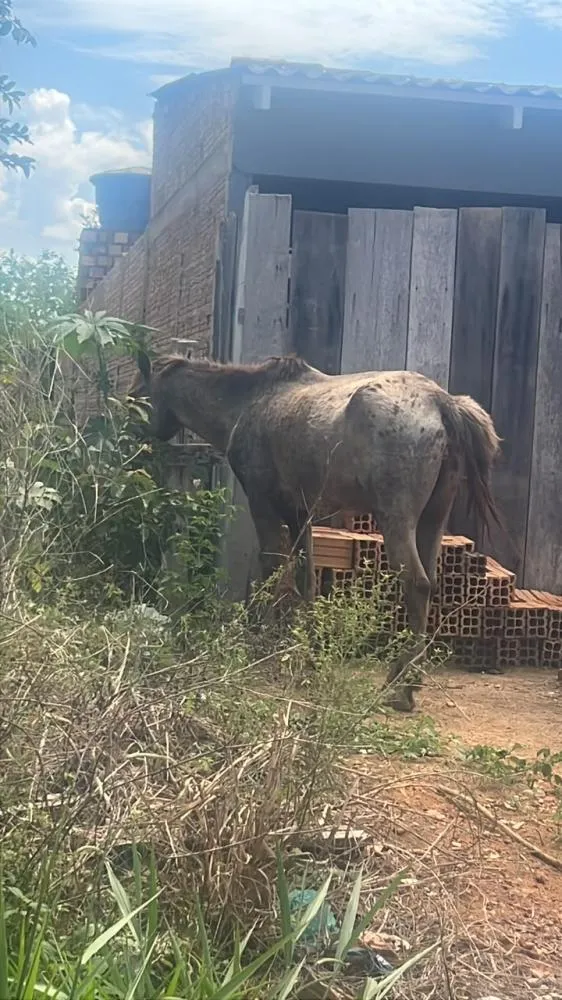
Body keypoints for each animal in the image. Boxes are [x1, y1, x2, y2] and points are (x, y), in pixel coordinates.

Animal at [130, 353, 501, 712]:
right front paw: (304, 650)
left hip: (397, 518)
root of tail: (440, 402)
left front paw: (260, 642)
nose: (133, 445)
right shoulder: (300, 514)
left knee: (417, 584)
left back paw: (402, 688)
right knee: (430, 583)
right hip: (432, 520)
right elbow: (305, 577)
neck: (250, 401)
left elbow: (273, 566)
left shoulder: (262, 502)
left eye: (138, 396)